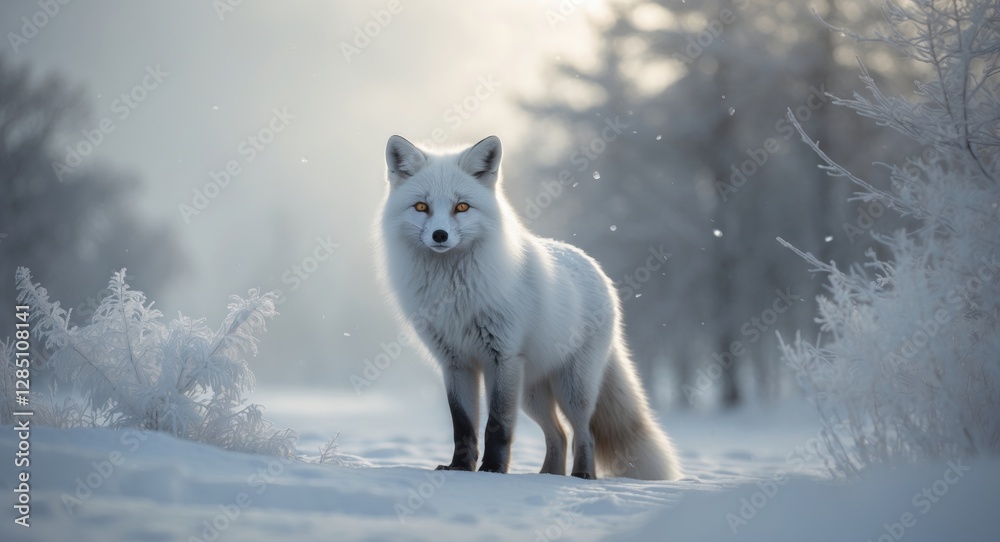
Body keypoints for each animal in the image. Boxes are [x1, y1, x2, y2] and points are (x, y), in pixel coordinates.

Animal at [376, 134, 682, 480]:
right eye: (421, 207)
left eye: (462, 207)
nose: (439, 235)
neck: (453, 292)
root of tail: (593, 265)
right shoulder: (455, 363)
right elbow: (463, 426)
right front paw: (460, 468)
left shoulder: (503, 357)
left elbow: (497, 426)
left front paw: (493, 471)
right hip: (531, 393)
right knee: (558, 434)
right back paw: (548, 476)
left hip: (571, 388)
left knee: (583, 432)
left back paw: (582, 476)